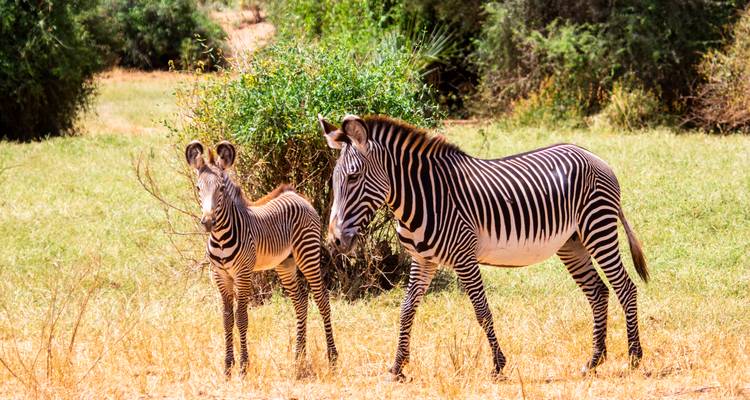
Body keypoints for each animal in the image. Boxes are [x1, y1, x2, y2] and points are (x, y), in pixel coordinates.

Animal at [185, 140, 338, 377]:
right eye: (198, 188)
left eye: (221, 189)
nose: (208, 222)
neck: (220, 238)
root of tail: (297, 195)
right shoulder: (220, 275)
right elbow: (227, 318)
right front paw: (227, 366)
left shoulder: (243, 274)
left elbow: (241, 318)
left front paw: (243, 366)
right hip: (285, 263)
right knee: (301, 302)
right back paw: (298, 356)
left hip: (308, 254)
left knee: (322, 299)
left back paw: (332, 357)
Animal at [318, 114, 648, 380]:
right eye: (333, 180)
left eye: (353, 177)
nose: (334, 240)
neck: (423, 198)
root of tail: (594, 156)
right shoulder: (422, 260)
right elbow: (406, 309)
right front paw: (398, 366)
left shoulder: (464, 257)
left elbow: (482, 311)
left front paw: (499, 365)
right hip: (572, 243)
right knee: (598, 292)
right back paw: (594, 361)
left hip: (598, 227)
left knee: (625, 287)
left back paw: (634, 357)